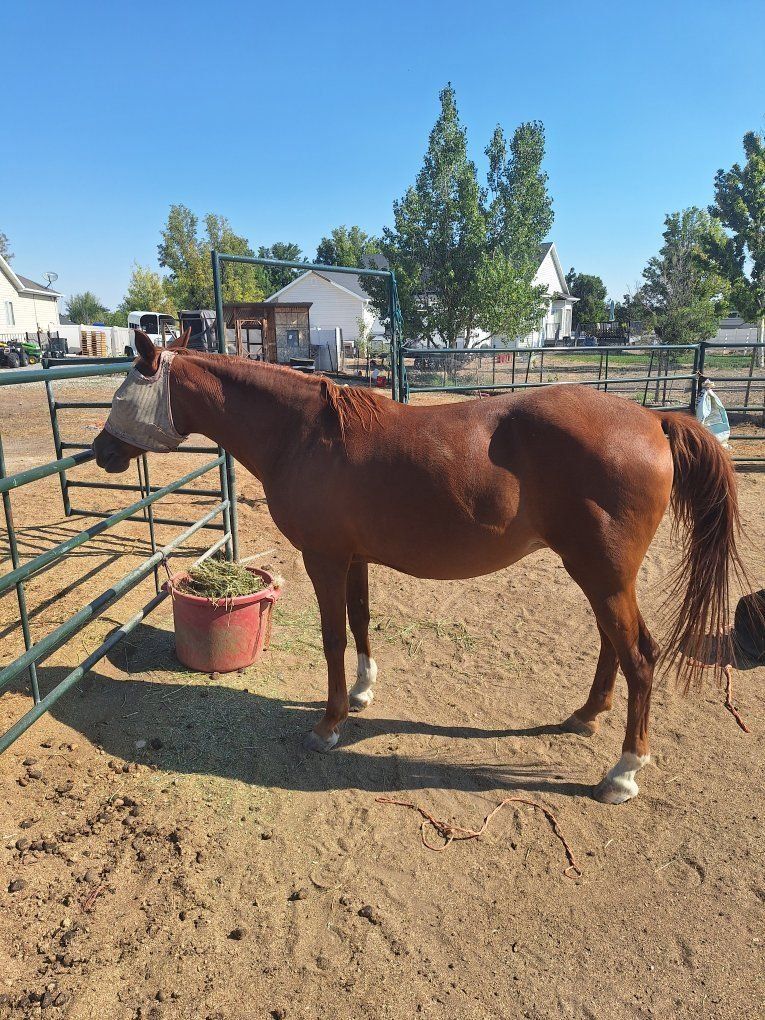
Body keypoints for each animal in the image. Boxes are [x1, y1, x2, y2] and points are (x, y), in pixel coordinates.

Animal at [93, 329, 746, 804]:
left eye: (123, 392)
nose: (100, 452)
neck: (303, 435)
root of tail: (652, 419)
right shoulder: (353, 557)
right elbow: (360, 622)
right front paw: (361, 693)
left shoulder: (323, 558)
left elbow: (332, 637)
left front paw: (329, 724)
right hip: (600, 574)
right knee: (614, 645)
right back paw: (586, 716)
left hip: (604, 574)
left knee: (640, 656)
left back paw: (623, 774)